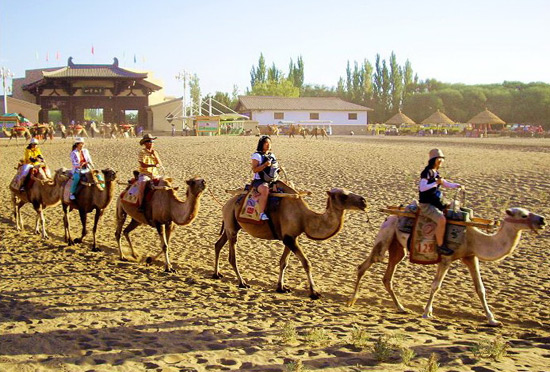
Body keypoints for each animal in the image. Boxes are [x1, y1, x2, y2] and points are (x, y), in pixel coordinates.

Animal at [213, 183, 368, 300]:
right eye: (343, 196)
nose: (364, 201)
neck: (305, 218)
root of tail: (226, 204)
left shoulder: (291, 237)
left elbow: (284, 262)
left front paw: (281, 287)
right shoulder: (289, 238)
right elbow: (306, 263)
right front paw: (314, 292)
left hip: (231, 224)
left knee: (218, 244)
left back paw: (217, 274)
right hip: (231, 225)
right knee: (232, 256)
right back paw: (242, 282)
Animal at [350, 206, 548, 326]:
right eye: (523, 215)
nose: (542, 220)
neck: (472, 237)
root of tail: (390, 216)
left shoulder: (471, 257)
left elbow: (480, 288)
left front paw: (492, 319)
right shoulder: (446, 258)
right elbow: (436, 286)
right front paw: (427, 313)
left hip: (398, 248)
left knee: (387, 277)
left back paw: (400, 307)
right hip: (385, 238)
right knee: (364, 266)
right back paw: (351, 301)